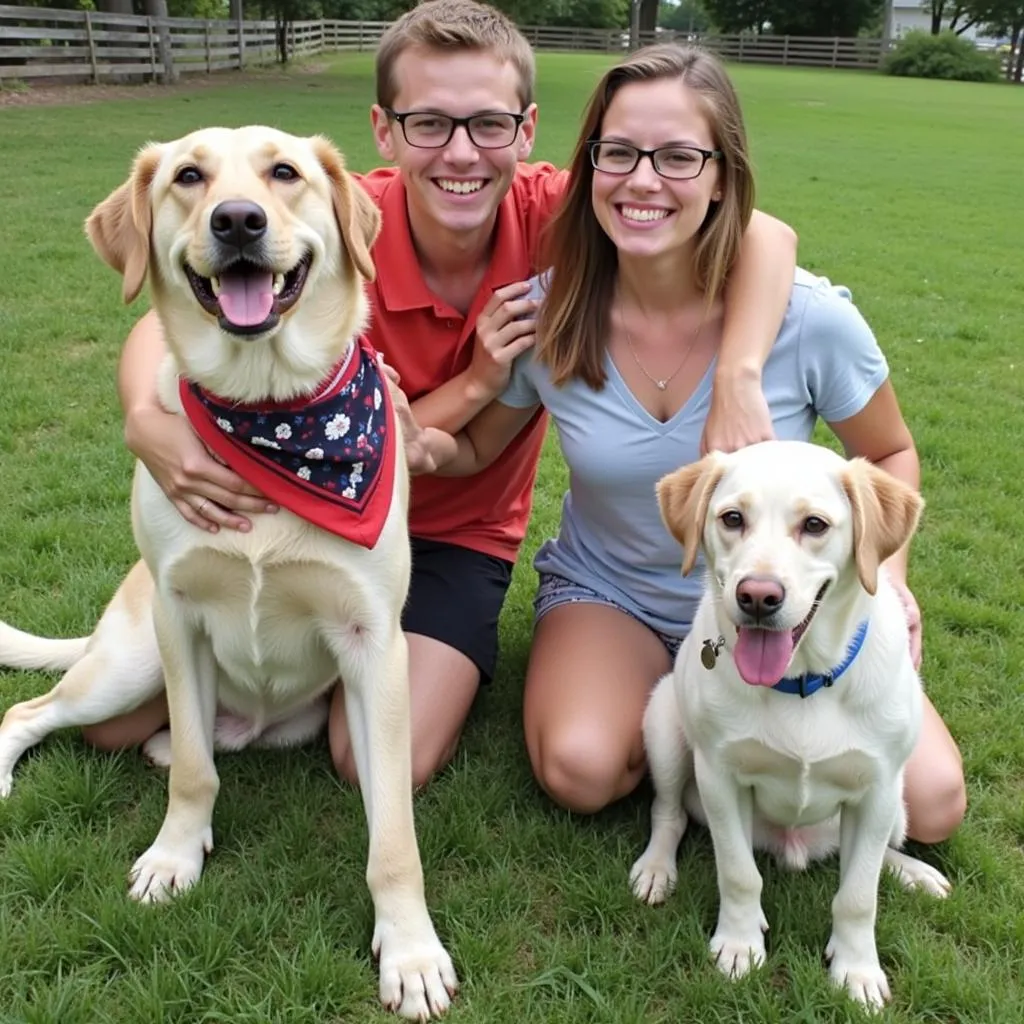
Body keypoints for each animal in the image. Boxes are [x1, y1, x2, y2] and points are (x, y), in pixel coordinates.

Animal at [0, 125, 456, 1015]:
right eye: (188, 177)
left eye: (285, 172)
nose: (238, 220)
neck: (273, 414)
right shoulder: (179, 619)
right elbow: (194, 779)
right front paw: (174, 857)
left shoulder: (374, 647)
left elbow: (394, 834)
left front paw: (411, 953)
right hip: (129, 662)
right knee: (28, 712)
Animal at [630, 440, 950, 1007]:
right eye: (732, 518)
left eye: (815, 524)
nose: (757, 596)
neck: (803, 681)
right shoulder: (720, 778)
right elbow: (738, 873)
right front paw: (739, 944)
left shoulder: (878, 788)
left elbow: (858, 894)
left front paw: (857, 969)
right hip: (664, 720)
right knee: (669, 813)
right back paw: (656, 869)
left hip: (901, 803)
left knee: (873, 854)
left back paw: (915, 873)